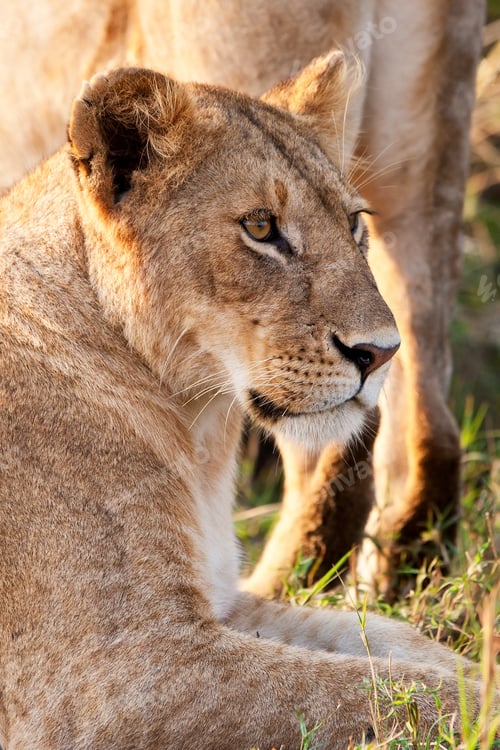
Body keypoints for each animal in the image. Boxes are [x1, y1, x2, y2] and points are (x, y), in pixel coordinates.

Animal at [0, 58, 486, 748]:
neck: (195, 427)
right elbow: (372, 691)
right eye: (261, 228)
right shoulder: (115, 678)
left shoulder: (220, 600)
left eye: (355, 223)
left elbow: (388, 641)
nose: (382, 352)